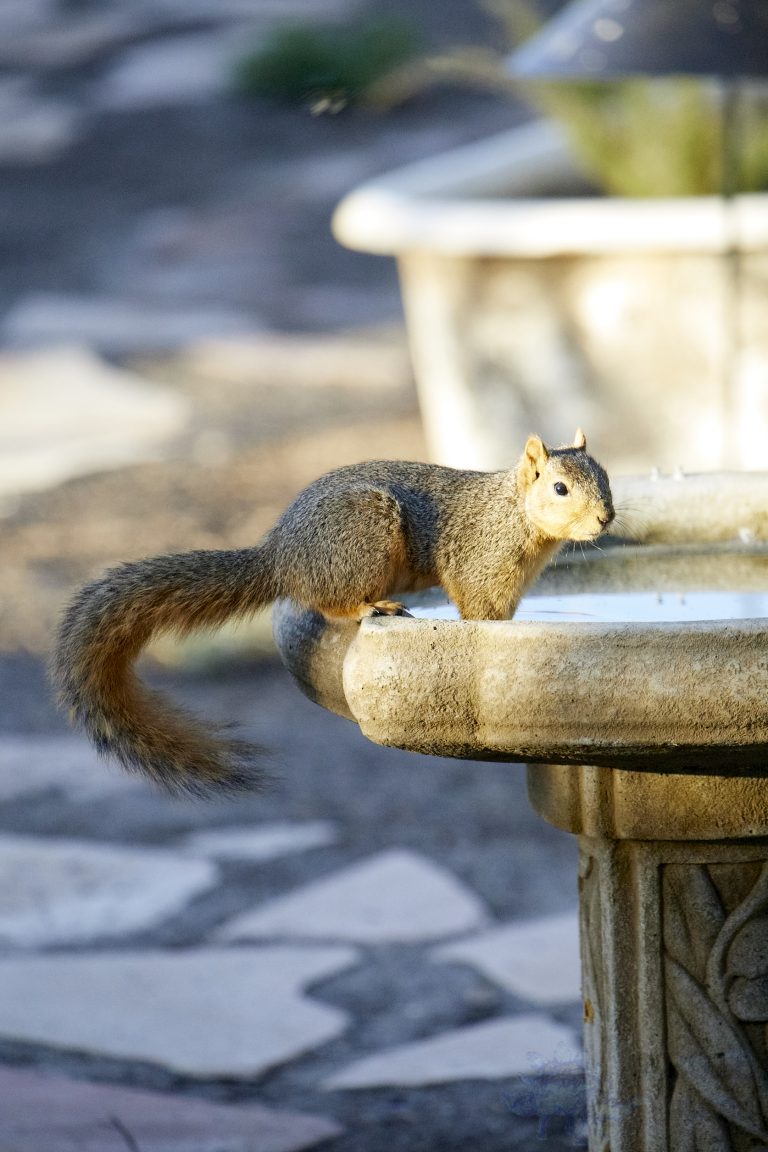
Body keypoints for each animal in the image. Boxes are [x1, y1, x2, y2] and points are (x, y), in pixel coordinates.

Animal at [53, 429, 613, 796]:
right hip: (363, 539)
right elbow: (481, 611)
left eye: (605, 477)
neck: (517, 517)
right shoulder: (482, 565)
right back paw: (374, 604)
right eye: (560, 488)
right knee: (330, 603)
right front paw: (498, 634)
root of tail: (280, 555)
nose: (607, 518)